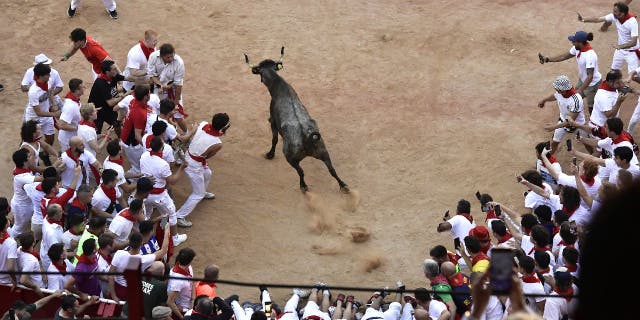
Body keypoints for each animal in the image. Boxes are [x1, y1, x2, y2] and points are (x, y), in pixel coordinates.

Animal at [244, 47, 348, 192]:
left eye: (260, 73)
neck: (279, 87)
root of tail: (307, 137)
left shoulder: (272, 121)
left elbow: (274, 139)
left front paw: (270, 154)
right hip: (323, 152)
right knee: (332, 170)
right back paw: (343, 185)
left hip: (291, 158)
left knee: (301, 172)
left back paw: (303, 186)